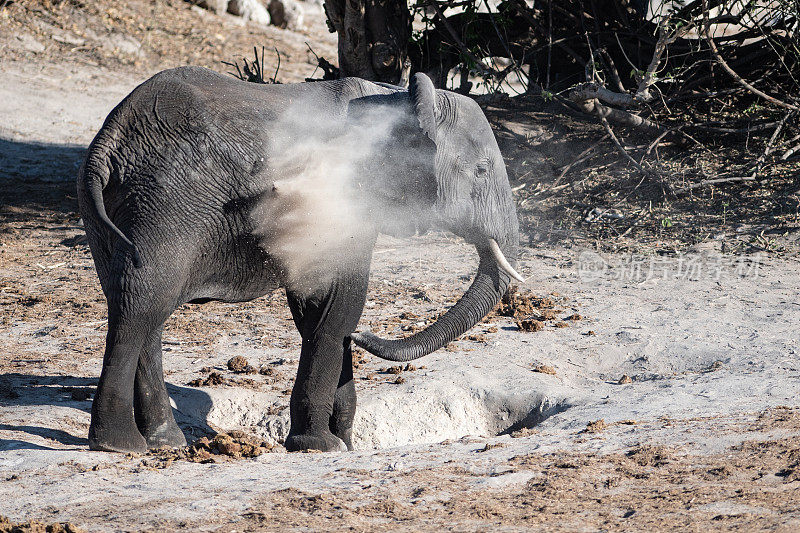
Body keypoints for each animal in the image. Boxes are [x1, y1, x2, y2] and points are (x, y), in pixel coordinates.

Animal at [76, 67, 524, 454]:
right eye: (481, 171)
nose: (365, 339)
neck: (398, 98)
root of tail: (108, 143)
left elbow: (316, 310)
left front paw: (344, 439)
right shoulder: (345, 198)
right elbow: (340, 307)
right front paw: (322, 445)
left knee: (138, 305)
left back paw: (165, 442)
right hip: (166, 203)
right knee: (141, 304)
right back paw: (120, 444)